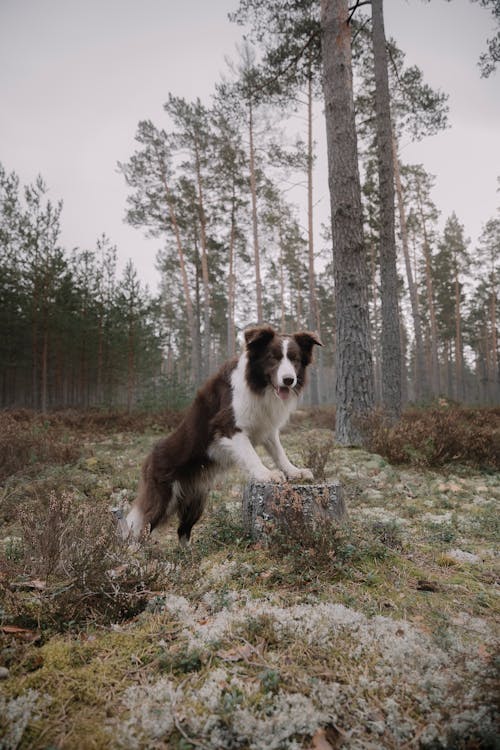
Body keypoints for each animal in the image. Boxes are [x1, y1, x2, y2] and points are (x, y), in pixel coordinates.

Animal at [124, 326, 320, 544]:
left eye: (295, 359)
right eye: (273, 357)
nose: (289, 380)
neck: (258, 384)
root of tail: (150, 458)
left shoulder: (267, 427)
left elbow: (279, 452)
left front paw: (294, 471)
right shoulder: (228, 426)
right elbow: (251, 454)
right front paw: (266, 474)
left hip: (197, 498)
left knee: (183, 530)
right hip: (164, 496)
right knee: (142, 526)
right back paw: (131, 550)